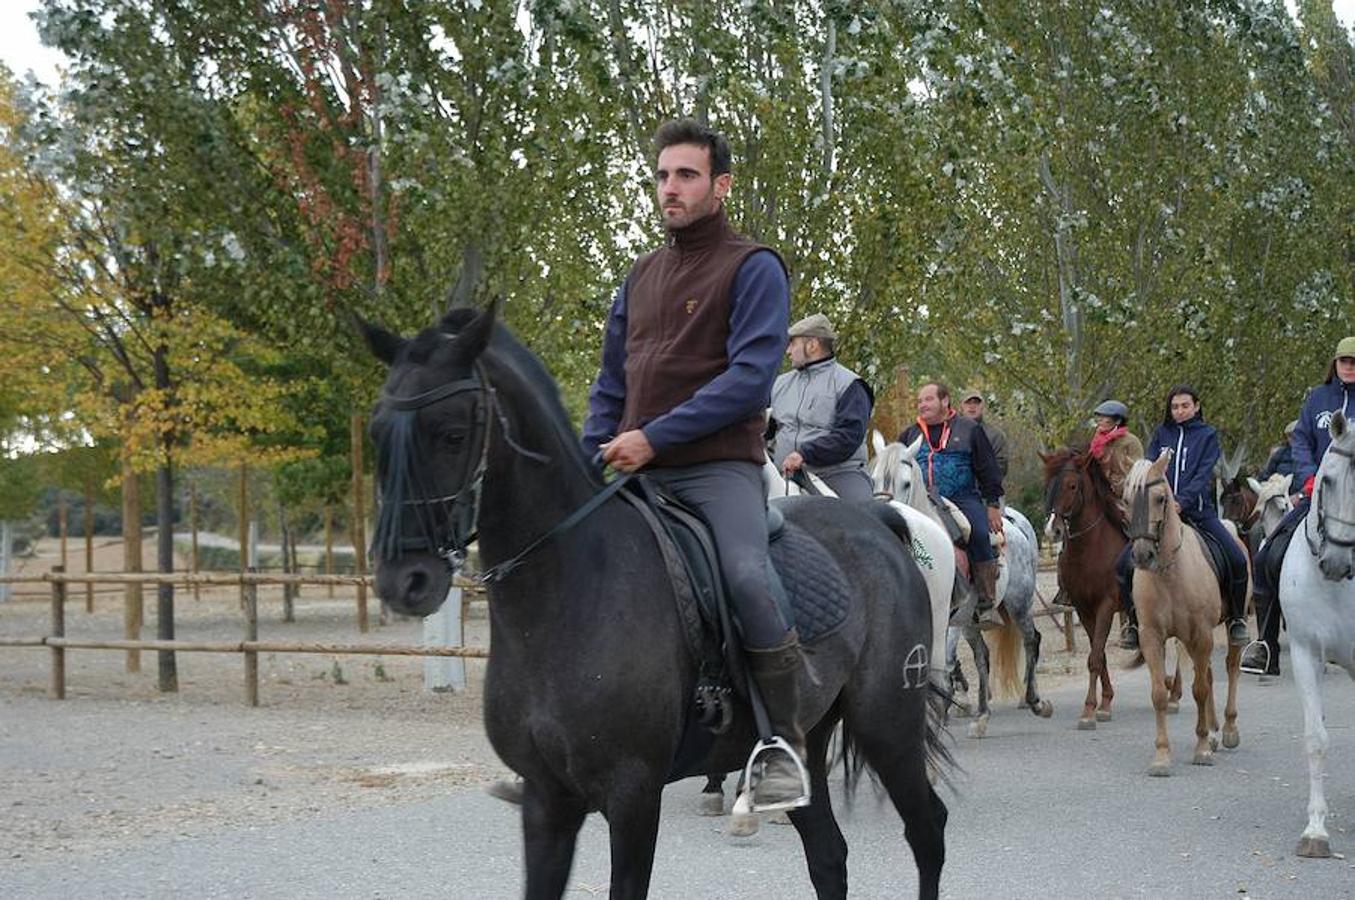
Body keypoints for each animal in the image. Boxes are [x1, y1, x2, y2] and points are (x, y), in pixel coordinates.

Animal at [360, 306, 953, 894]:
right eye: (377, 432)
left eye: (452, 434)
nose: (403, 580)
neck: (567, 594)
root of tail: (878, 520)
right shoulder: (546, 799)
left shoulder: (633, 797)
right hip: (810, 738)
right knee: (830, 857)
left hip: (888, 726)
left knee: (928, 829)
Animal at [867, 431, 1046, 737]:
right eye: (874, 479)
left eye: (906, 483)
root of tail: (1015, 528)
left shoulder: (941, 620)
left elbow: (939, 667)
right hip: (969, 621)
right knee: (983, 657)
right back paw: (982, 716)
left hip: (1019, 605)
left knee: (1031, 640)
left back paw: (1033, 701)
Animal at [1040, 450, 1127, 731]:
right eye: (1048, 486)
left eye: (1072, 486)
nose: (1053, 530)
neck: (1090, 549)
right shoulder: (1084, 609)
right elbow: (1098, 655)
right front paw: (1104, 703)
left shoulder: (1106, 606)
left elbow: (1095, 658)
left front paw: (1089, 711)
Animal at [1116, 458, 1241, 775]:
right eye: (1126, 499)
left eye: (1161, 498)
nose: (1142, 555)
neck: (1169, 573)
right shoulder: (1151, 637)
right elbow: (1160, 694)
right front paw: (1162, 756)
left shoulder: (1202, 634)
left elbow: (1199, 690)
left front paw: (1202, 749)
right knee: (1208, 673)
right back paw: (1214, 732)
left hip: (1226, 630)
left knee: (1231, 668)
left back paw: (1229, 730)